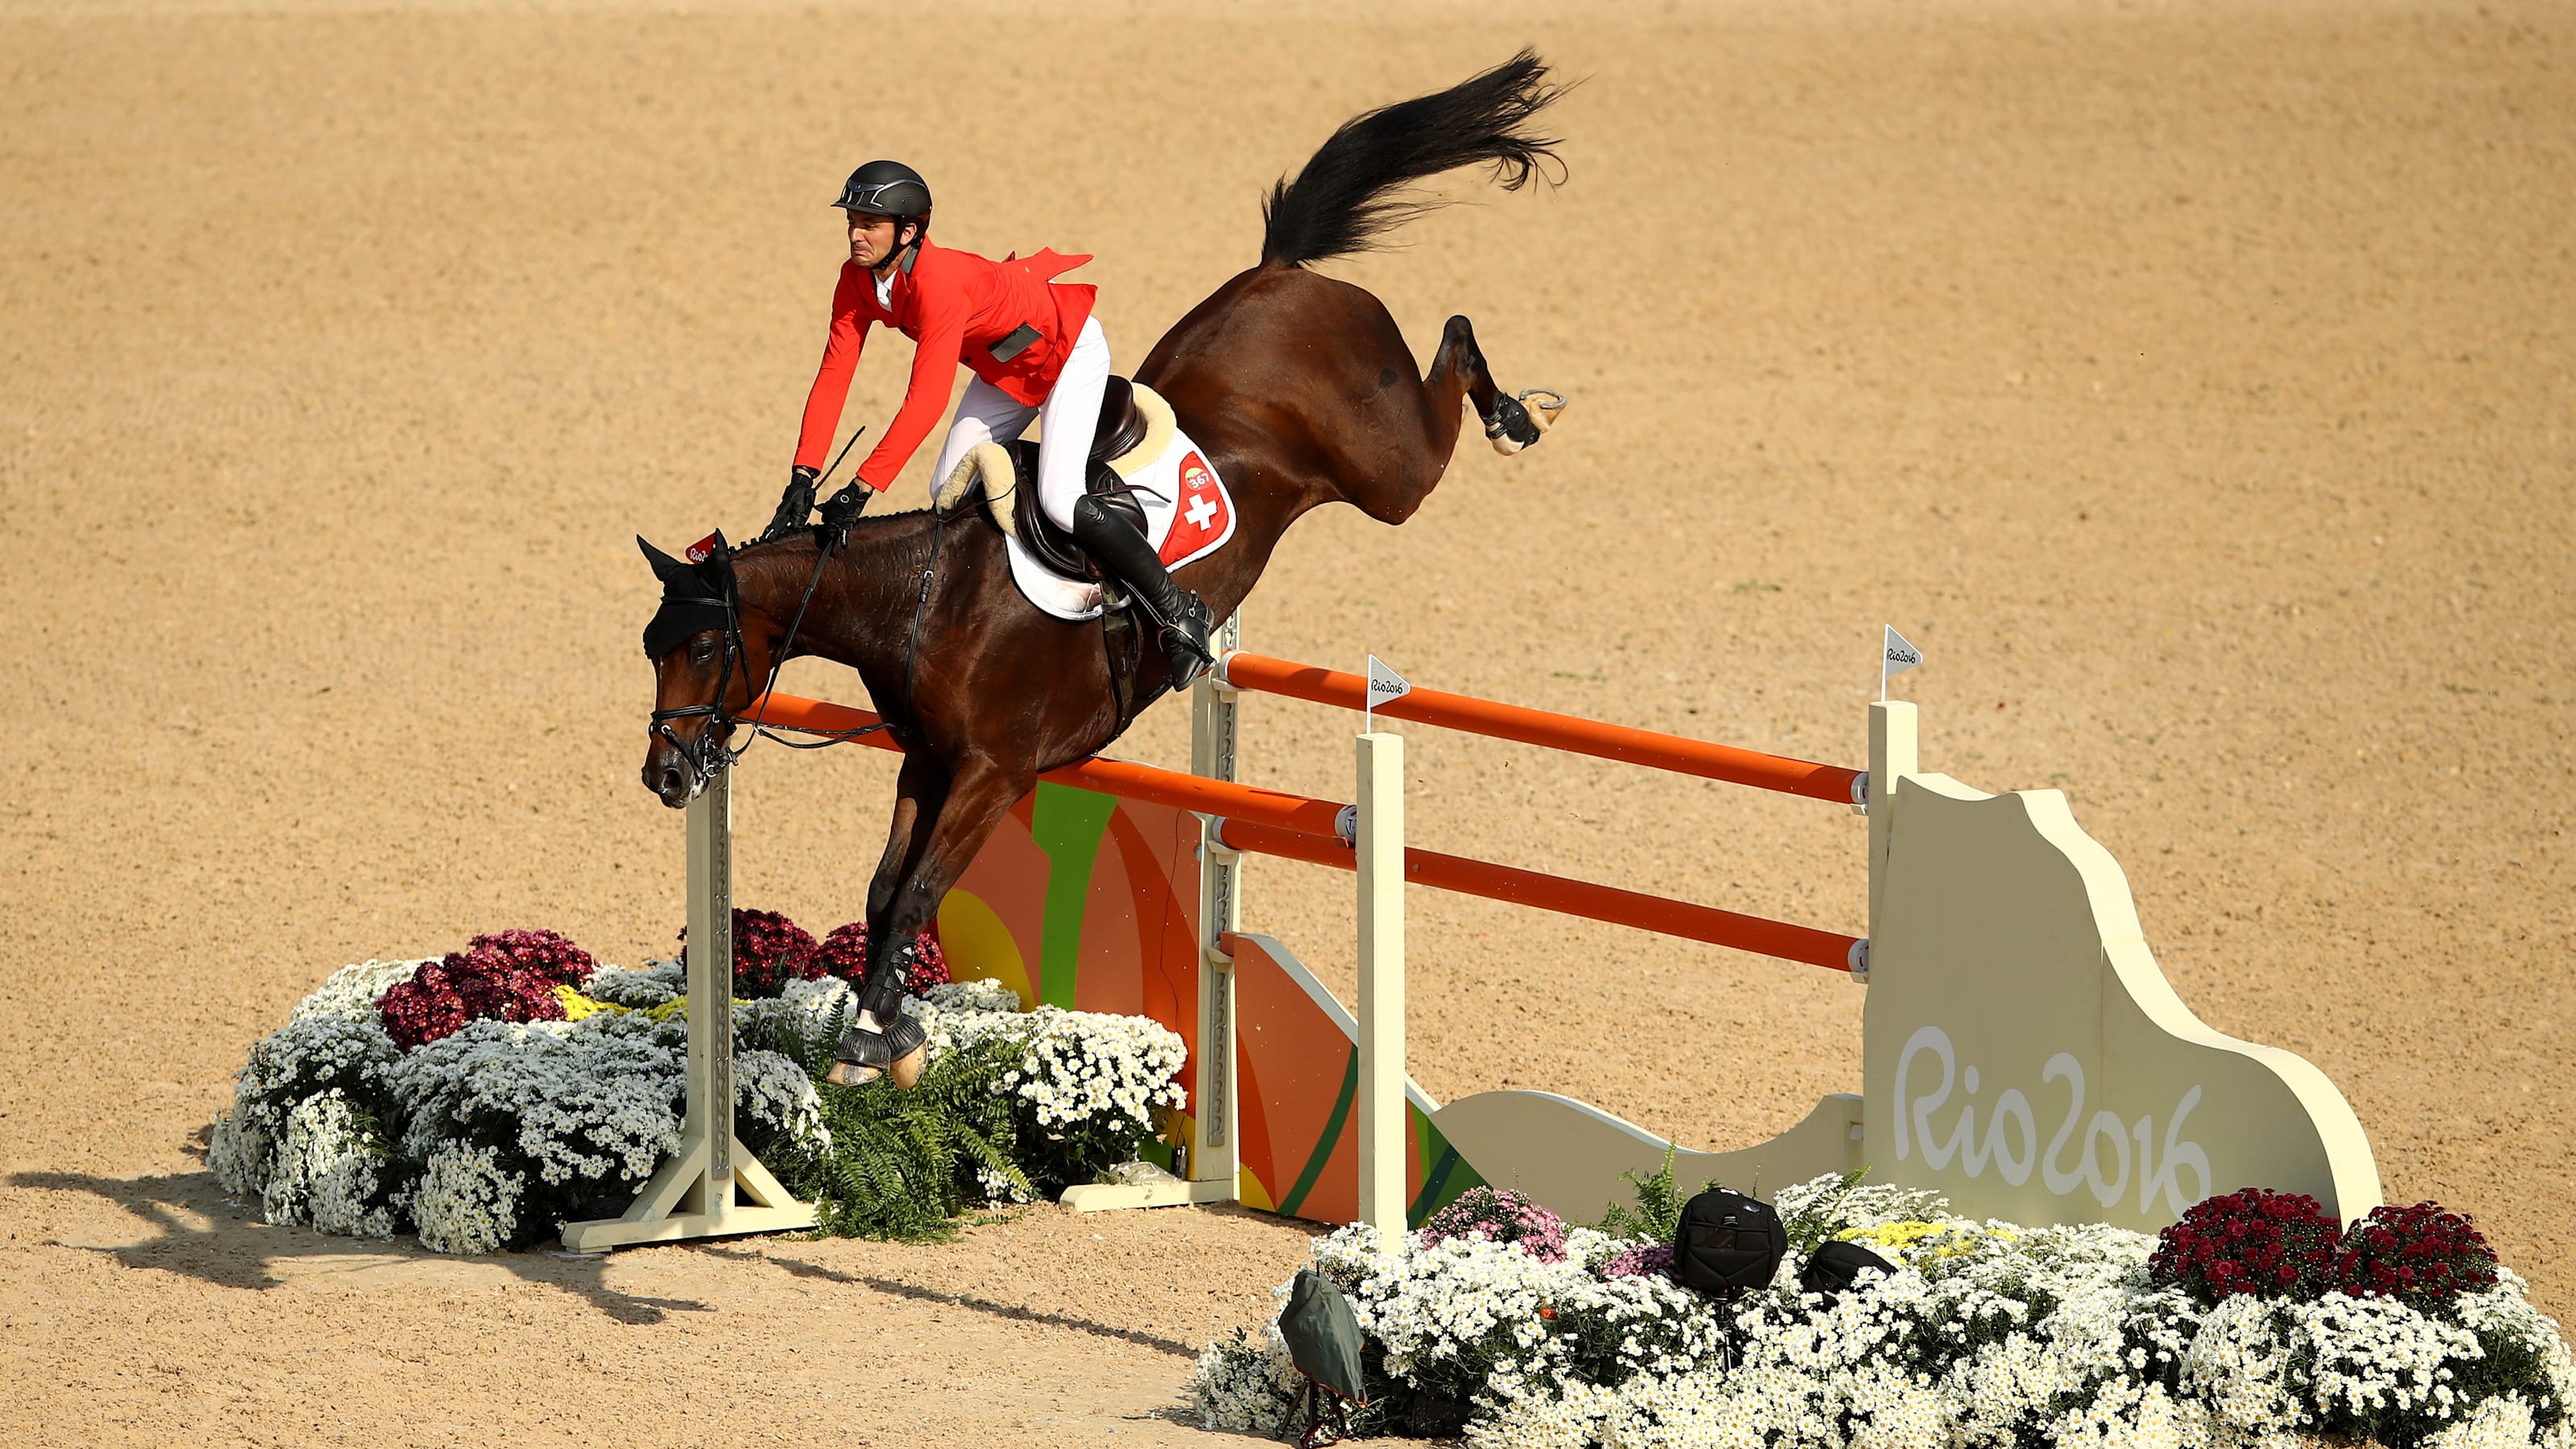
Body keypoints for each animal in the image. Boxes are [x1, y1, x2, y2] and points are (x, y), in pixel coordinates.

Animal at [644, 51, 1566, 1077]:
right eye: (653, 650)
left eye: (705, 649)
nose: (666, 778)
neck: (926, 606)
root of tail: (1279, 272)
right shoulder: (926, 760)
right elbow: (886, 891)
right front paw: (900, 1035)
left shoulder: (993, 773)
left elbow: (919, 893)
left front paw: (868, 1039)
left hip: (1388, 470)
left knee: (1449, 352)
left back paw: (1517, 416)